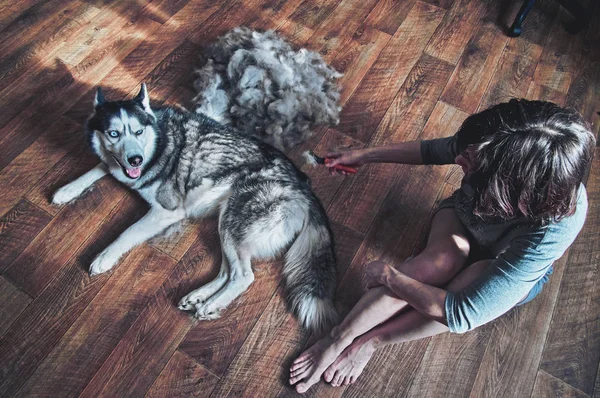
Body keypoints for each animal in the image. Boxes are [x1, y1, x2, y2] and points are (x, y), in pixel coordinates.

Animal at [52, 84, 338, 332]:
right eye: (113, 134)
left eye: (138, 132)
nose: (135, 160)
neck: (159, 142)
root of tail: (306, 188)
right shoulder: (119, 166)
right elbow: (99, 167)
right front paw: (68, 189)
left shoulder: (165, 211)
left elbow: (127, 232)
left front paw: (104, 256)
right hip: (226, 227)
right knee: (227, 272)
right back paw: (199, 297)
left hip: (233, 223)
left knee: (243, 276)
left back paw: (212, 304)